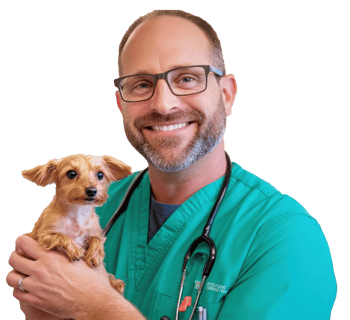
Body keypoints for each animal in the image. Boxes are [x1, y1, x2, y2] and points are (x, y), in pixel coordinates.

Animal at [20, 154, 133, 294]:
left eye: (100, 175)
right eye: (71, 173)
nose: (92, 190)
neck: (78, 212)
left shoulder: (94, 232)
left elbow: (97, 240)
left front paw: (95, 256)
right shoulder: (45, 235)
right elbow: (61, 237)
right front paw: (75, 250)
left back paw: (114, 283)